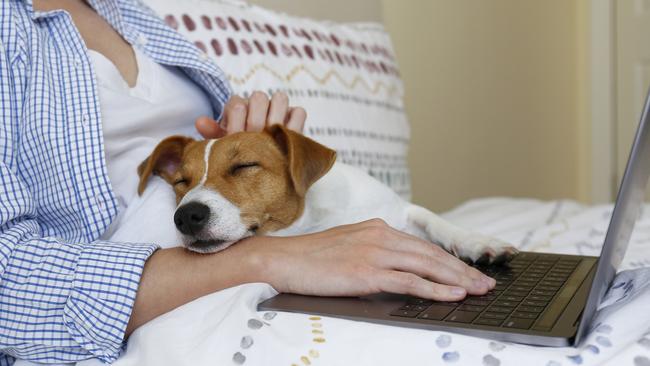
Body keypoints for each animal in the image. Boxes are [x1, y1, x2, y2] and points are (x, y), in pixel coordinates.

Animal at [138, 125, 516, 264]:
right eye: (181, 181)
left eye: (244, 165)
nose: (186, 216)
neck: (316, 218)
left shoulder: (399, 208)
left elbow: (434, 220)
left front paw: (478, 242)